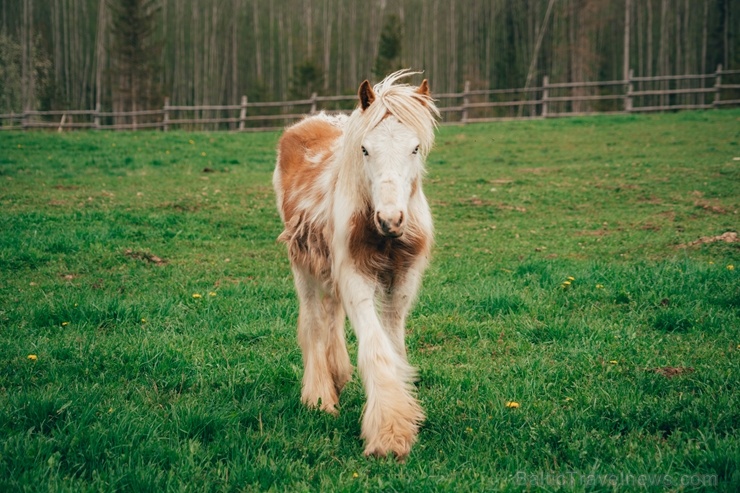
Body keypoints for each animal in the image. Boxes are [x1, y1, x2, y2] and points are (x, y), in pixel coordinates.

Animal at [274, 70, 440, 458]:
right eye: (365, 149)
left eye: (415, 148)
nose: (391, 219)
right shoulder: (355, 277)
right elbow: (376, 349)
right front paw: (390, 434)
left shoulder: (401, 282)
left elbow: (393, 348)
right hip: (302, 263)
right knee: (313, 321)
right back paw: (320, 395)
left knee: (331, 313)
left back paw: (337, 374)